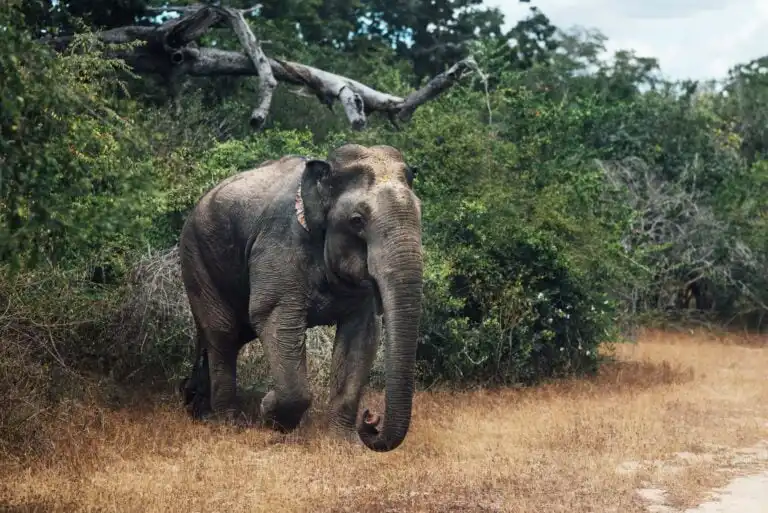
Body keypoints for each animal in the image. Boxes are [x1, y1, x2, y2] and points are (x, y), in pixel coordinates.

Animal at [178, 143, 424, 452]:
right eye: (357, 221)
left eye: (420, 213)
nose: (370, 419)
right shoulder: (279, 244)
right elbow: (273, 317)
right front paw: (269, 411)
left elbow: (362, 334)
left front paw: (345, 444)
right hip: (195, 257)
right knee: (223, 333)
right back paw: (226, 424)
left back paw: (197, 408)